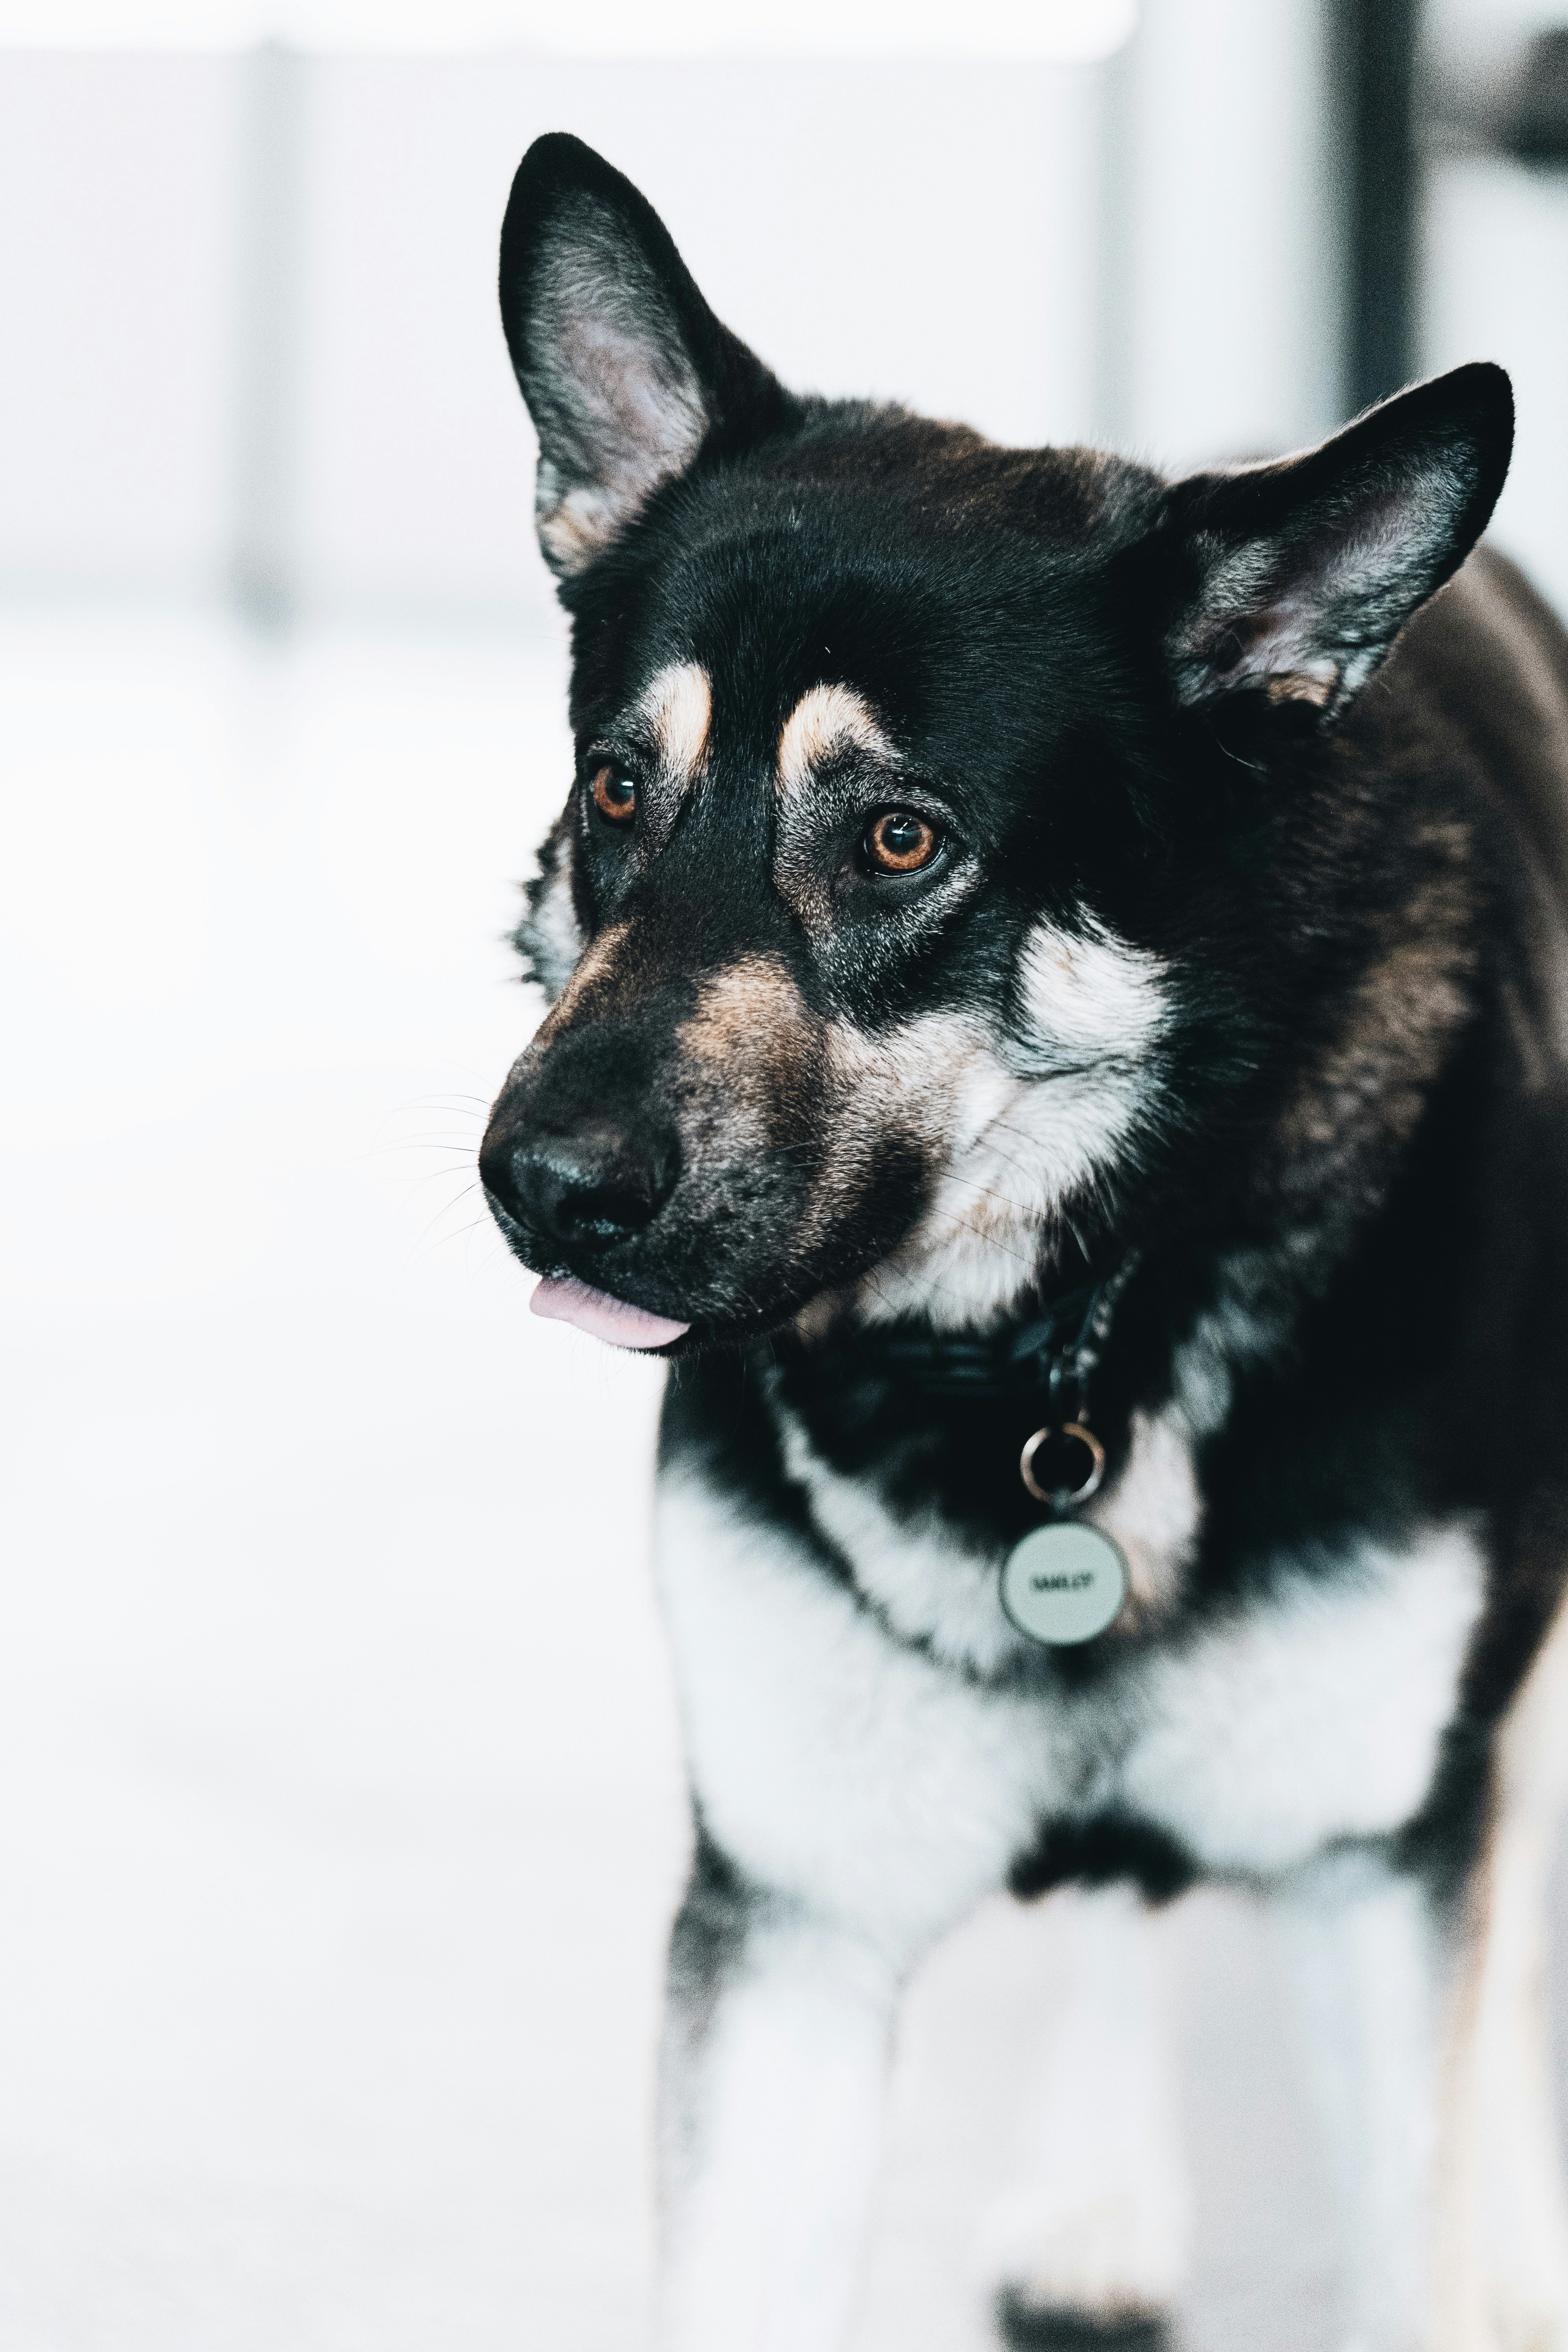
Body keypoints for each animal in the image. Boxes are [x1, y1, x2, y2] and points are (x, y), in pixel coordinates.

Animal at [475, 137, 1568, 2352]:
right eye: (616, 791)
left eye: (899, 837)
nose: (536, 1181)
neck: (1067, 1325)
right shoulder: (789, 1934)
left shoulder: (1377, 1868)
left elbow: (1424, 2141)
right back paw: (1094, 2189)